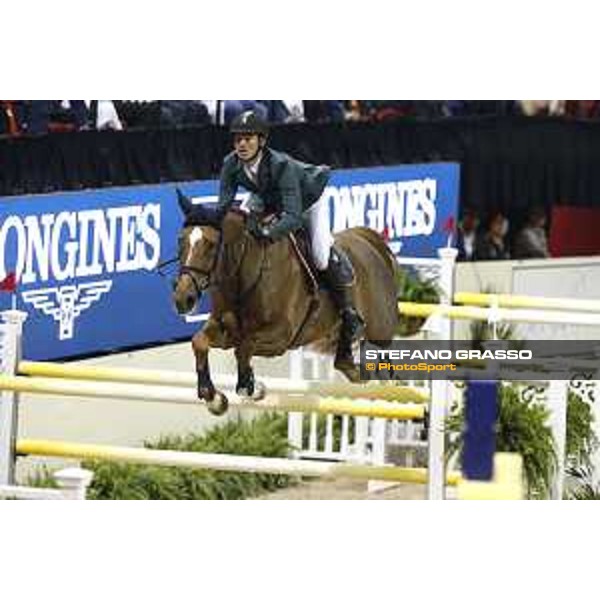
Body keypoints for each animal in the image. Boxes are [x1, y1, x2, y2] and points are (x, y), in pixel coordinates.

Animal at [171, 196, 400, 412]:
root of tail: (368, 240)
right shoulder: (227, 331)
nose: (183, 299)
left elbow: (244, 348)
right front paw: (214, 398)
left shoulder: (280, 337)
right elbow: (200, 341)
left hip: (380, 332)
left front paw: (251, 388)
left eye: (210, 245)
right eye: (180, 241)